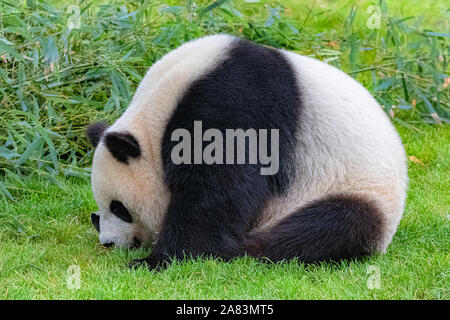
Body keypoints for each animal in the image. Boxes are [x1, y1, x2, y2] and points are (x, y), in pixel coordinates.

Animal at [87, 34, 408, 270]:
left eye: (119, 208)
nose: (108, 242)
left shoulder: (232, 105)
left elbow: (218, 191)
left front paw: (156, 260)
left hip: (357, 188)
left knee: (333, 225)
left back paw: (243, 248)